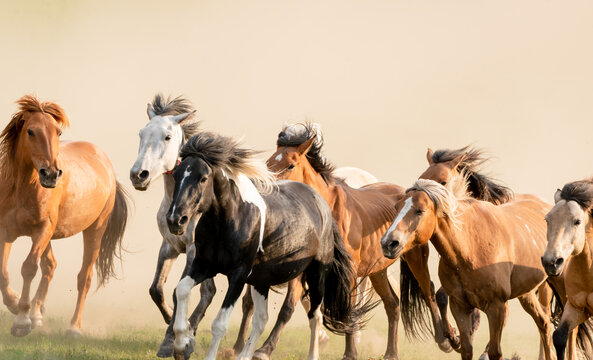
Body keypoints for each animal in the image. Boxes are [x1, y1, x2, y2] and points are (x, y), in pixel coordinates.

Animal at [0, 95, 130, 338]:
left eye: (58, 132)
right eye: (30, 131)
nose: (51, 174)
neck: (23, 188)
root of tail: (105, 163)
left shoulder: (42, 230)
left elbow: (28, 268)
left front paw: (21, 321)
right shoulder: (6, 232)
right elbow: (4, 273)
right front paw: (14, 304)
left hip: (94, 230)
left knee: (84, 278)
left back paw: (73, 328)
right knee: (50, 266)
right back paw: (37, 314)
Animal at [129, 95, 217, 358]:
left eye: (167, 136)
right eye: (141, 134)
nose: (139, 175)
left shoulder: (193, 250)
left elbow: (180, 290)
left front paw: (172, 339)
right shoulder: (170, 246)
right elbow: (156, 289)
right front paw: (171, 322)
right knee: (209, 292)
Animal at [163, 132, 366, 360]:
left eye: (203, 178)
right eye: (176, 175)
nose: (175, 220)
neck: (230, 218)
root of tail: (323, 206)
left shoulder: (239, 275)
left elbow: (220, 324)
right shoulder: (204, 265)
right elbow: (181, 290)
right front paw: (181, 344)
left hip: (316, 275)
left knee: (315, 317)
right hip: (262, 280)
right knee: (261, 320)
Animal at [382, 180, 556, 360]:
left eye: (420, 210)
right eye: (396, 207)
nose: (388, 243)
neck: (471, 248)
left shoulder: (496, 307)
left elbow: (495, 352)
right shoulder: (459, 306)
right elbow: (466, 349)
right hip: (526, 294)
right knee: (544, 323)